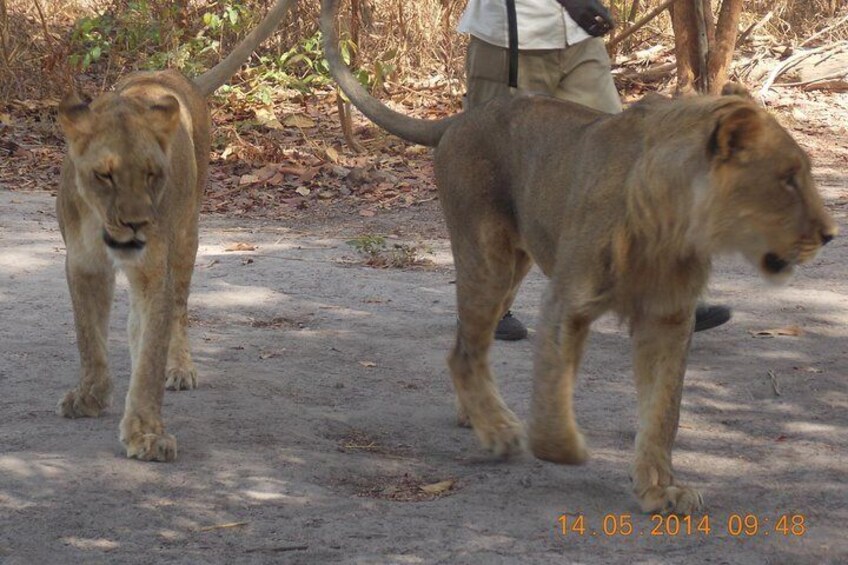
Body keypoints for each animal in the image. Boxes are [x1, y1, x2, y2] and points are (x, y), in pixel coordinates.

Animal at [56, 0, 294, 460]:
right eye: (104, 176)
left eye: (152, 174)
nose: (135, 224)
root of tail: (175, 76)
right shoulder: (82, 263)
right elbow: (88, 335)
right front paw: (91, 395)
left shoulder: (154, 268)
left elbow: (150, 352)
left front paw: (146, 432)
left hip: (186, 236)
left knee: (179, 310)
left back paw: (181, 368)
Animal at [322, 0, 840, 512]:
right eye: (788, 179)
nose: (831, 234)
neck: (674, 225)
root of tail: (461, 118)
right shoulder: (567, 302)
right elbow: (554, 397)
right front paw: (565, 448)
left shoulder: (669, 318)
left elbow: (663, 410)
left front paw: (660, 488)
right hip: (488, 259)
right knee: (465, 349)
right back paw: (499, 429)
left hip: (514, 264)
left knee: (465, 344)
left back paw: (474, 413)